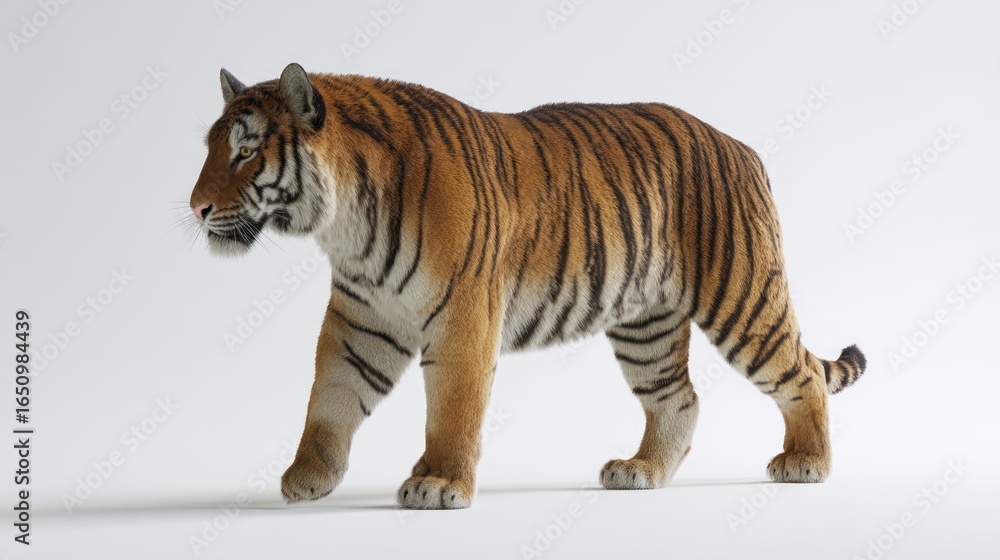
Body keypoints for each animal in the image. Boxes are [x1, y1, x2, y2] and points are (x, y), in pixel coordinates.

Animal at [188, 63, 866, 510]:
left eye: (245, 153)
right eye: (211, 148)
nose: (195, 209)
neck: (345, 222)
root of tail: (741, 146)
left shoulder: (462, 318)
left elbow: (451, 409)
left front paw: (438, 483)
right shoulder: (362, 320)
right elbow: (328, 399)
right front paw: (308, 476)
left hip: (741, 296)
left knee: (802, 375)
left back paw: (807, 463)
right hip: (645, 323)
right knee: (680, 399)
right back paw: (641, 470)